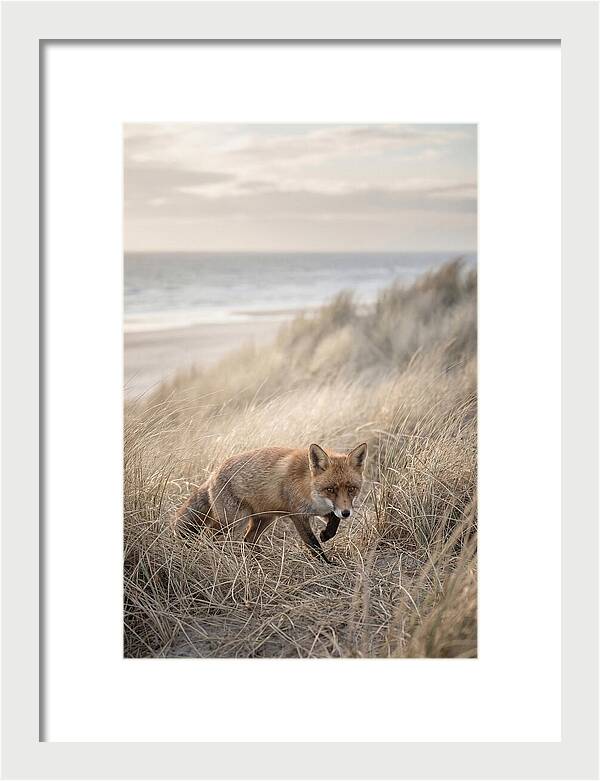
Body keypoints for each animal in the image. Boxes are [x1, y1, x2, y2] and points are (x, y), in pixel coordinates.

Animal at [173, 442, 368, 564]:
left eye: (351, 489)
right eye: (331, 489)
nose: (347, 513)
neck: (309, 486)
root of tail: (212, 474)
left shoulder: (323, 510)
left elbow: (334, 521)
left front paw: (326, 534)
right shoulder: (298, 515)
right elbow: (313, 544)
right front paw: (327, 564)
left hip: (264, 519)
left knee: (248, 539)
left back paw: (259, 559)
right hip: (234, 521)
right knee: (209, 535)